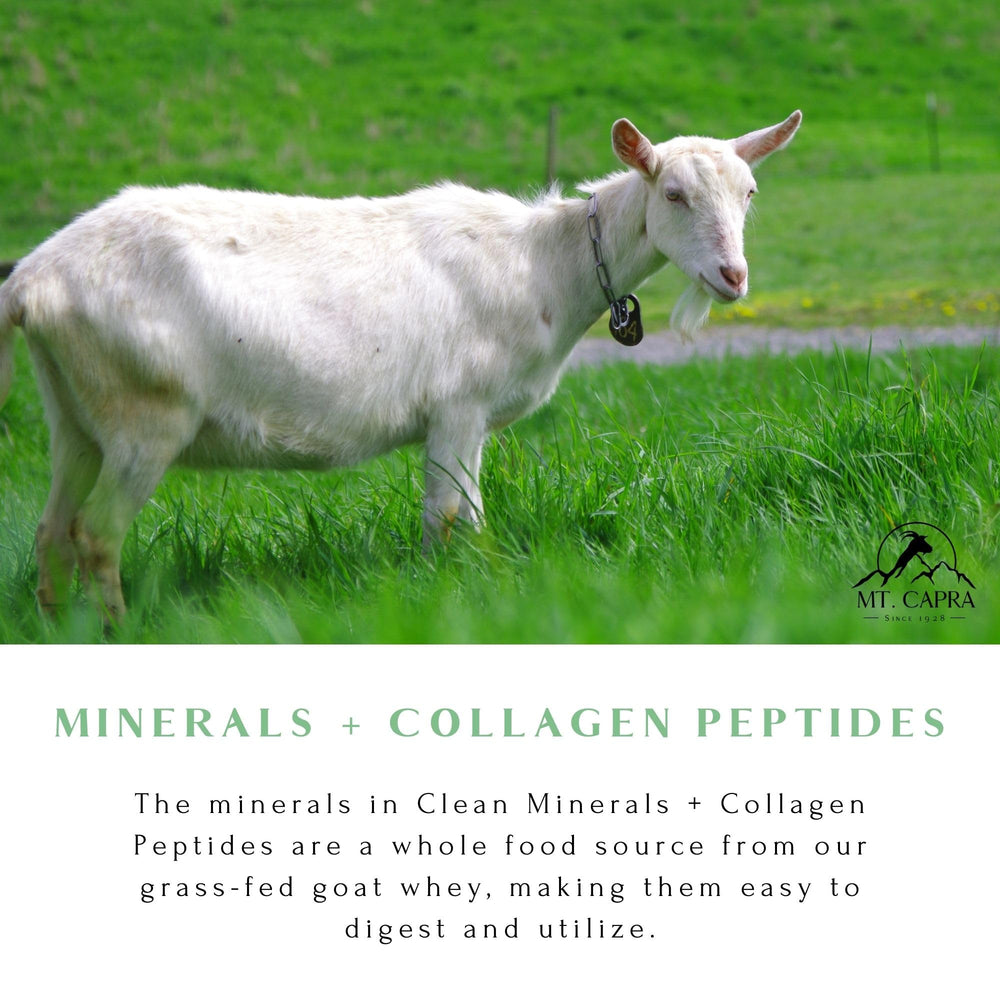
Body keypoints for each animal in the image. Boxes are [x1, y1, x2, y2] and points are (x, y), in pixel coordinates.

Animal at [0, 111, 801, 619]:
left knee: (52, 531)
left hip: (75, 416)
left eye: (750, 193)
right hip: (146, 413)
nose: (732, 277)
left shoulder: (470, 423)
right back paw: (117, 629)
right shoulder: (459, 408)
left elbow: (460, 516)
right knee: (96, 534)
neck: (543, 267)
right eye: (674, 193)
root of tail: (31, 282)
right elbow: (451, 518)